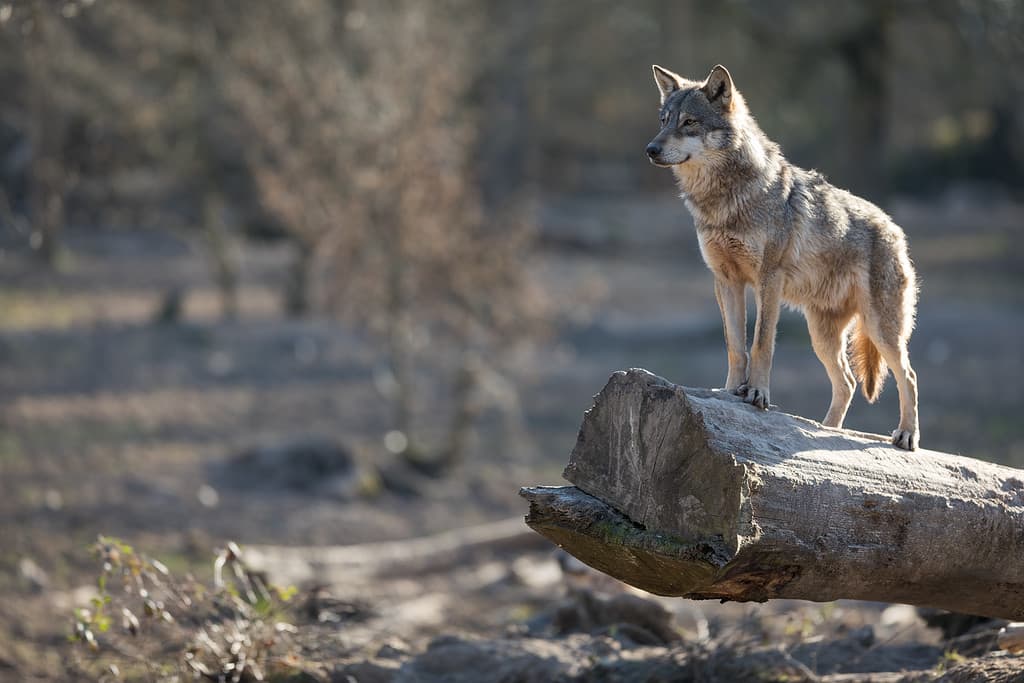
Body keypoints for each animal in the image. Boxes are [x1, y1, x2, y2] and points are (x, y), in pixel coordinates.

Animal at [647, 62, 921, 448]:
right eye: (664, 120)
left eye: (689, 122)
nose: (651, 149)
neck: (726, 200)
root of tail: (895, 228)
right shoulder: (725, 281)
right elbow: (736, 345)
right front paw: (729, 392)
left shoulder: (768, 279)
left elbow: (761, 343)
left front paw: (757, 394)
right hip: (822, 336)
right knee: (848, 382)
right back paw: (826, 431)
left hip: (881, 329)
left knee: (908, 375)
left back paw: (907, 435)